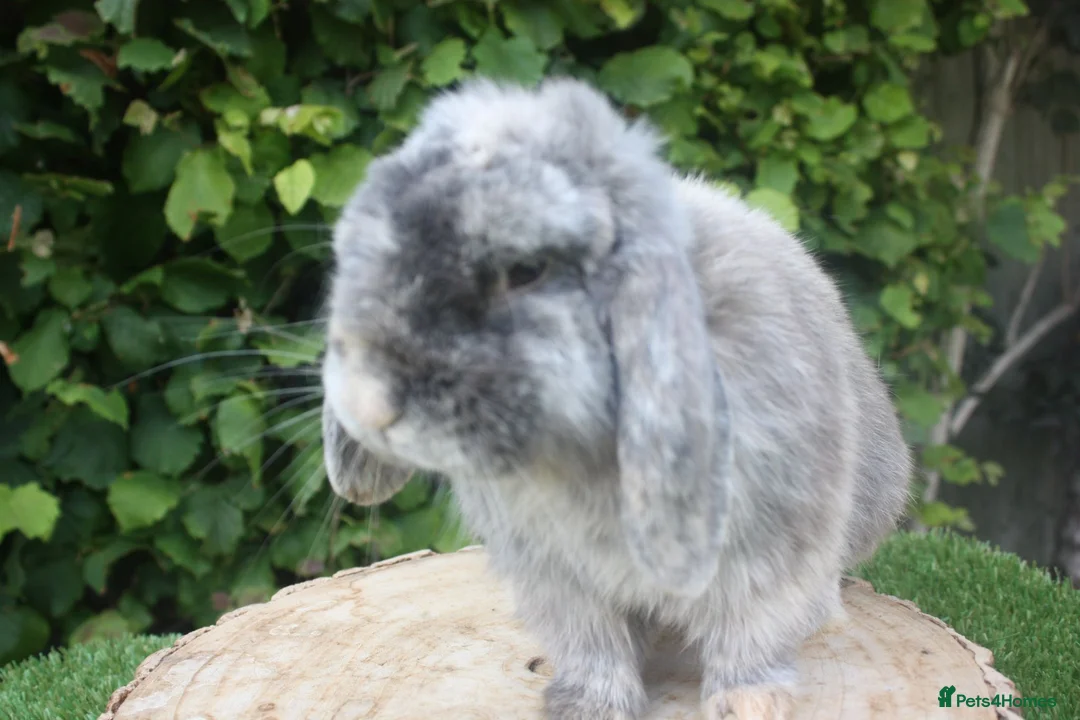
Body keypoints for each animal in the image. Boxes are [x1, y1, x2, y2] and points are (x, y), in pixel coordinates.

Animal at [319, 76, 913, 720]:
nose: (370, 406)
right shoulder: (559, 578)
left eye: (525, 269)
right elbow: (593, 645)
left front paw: (748, 705)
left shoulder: (774, 547)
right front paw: (587, 707)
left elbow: (750, 639)